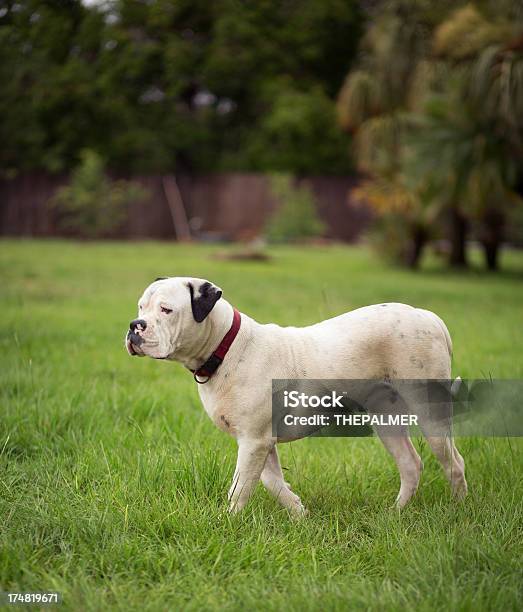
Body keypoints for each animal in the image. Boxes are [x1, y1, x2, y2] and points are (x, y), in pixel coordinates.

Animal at [125, 280, 468, 512]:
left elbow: (240, 488)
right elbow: (270, 481)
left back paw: (457, 510)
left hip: (430, 413)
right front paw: (298, 512)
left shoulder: (254, 440)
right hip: (385, 417)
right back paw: (395, 514)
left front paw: (228, 521)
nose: (134, 326)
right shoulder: (259, 441)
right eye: (141, 307)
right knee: (410, 464)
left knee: (454, 463)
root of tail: (429, 317)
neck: (226, 347)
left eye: (166, 310)